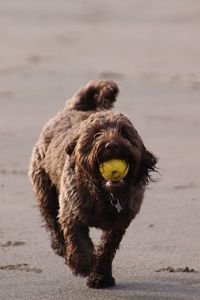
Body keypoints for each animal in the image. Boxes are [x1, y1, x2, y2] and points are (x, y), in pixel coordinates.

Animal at [28, 79, 156, 288]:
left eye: (124, 133)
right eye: (97, 134)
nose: (112, 145)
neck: (106, 193)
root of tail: (74, 108)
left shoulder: (120, 222)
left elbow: (107, 248)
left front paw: (101, 276)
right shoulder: (71, 211)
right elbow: (77, 239)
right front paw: (83, 264)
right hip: (44, 188)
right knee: (51, 219)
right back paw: (60, 247)